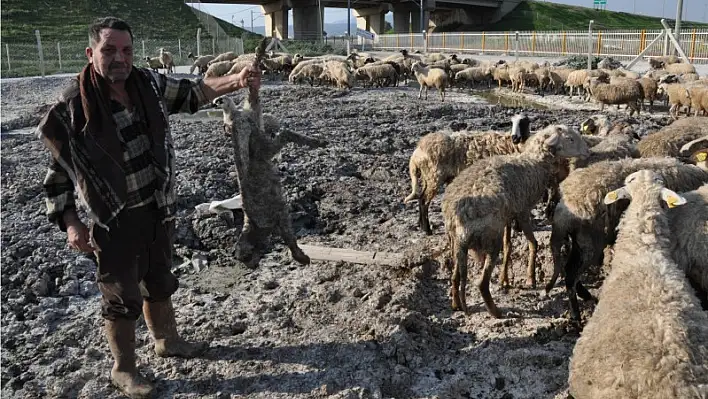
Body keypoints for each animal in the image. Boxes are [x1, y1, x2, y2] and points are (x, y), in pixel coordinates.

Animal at [404, 114, 532, 236]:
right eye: (512, 122)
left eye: (524, 122)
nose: (515, 138)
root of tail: (417, 151)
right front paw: (517, 227)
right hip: (434, 176)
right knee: (424, 201)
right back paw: (427, 230)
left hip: (428, 177)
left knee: (421, 197)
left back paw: (421, 226)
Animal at [442, 125, 592, 316]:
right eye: (570, 139)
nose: (588, 152)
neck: (533, 163)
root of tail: (457, 215)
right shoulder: (523, 211)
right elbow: (533, 243)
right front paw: (530, 278)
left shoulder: (508, 216)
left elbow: (508, 246)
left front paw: (504, 279)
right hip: (490, 238)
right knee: (481, 283)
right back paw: (495, 312)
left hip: (457, 243)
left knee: (455, 277)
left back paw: (456, 304)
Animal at [548, 158, 708, 320]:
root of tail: (563, 211)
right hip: (590, 242)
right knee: (571, 274)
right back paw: (577, 316)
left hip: (580, 242)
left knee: (568, 268)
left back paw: (585, 296)